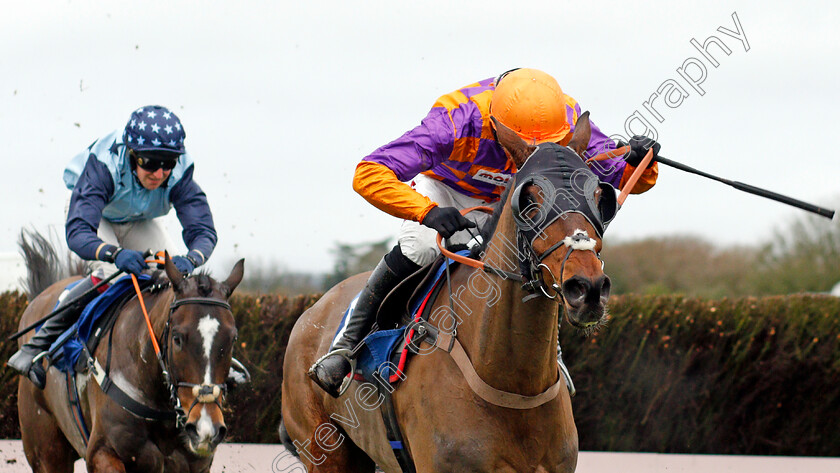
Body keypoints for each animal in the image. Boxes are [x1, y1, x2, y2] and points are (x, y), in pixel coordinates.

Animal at [14, 249, 244, 470]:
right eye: (177, 338)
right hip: (46, 452)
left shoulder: (196, 464)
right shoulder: (102, 452)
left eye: (233, 338)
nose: (205, 428)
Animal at [282, 112, 616, 470]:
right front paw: (441, 217)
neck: (514, 385)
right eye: (529, 200)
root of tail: (311, 312)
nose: (587, 288)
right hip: (325, 451)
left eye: (601, 198)